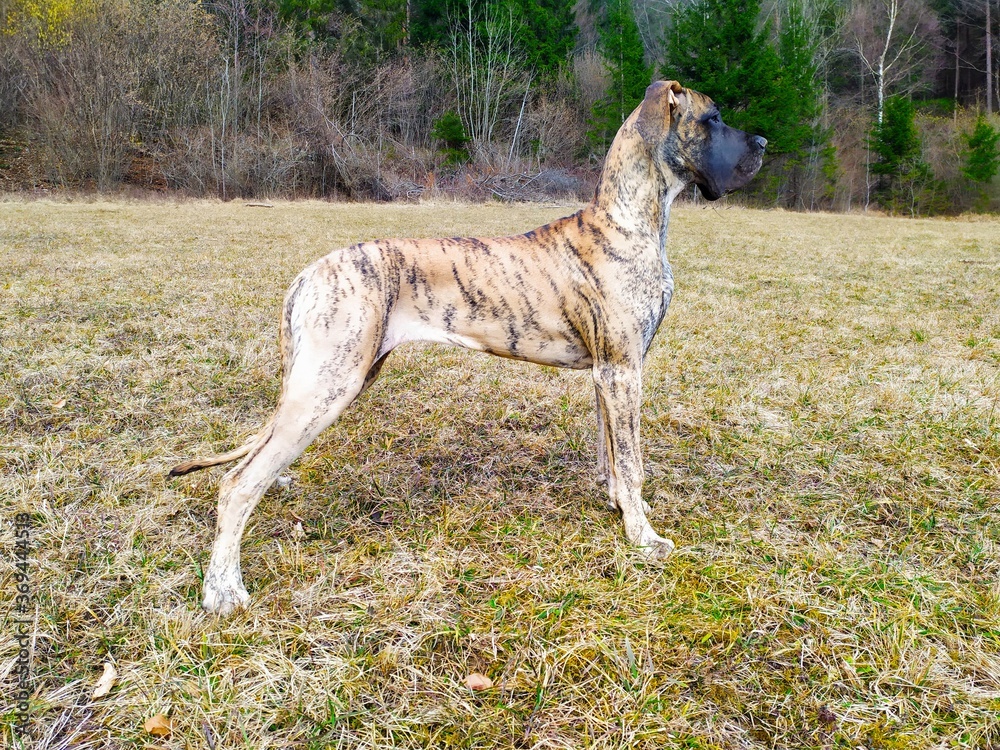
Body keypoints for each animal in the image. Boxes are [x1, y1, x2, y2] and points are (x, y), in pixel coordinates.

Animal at [172, 81, 764, 616]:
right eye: (712, 117)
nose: (761, 141)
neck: (630, 220)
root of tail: (309, 273)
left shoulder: (609, 373)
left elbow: (613, 455)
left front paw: (620, 506)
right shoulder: (623, 372)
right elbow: (633, 461)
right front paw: (644, 536)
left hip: (327, 379)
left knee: (257, 459)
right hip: (329, 384)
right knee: (236, 484)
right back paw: (223, 591)